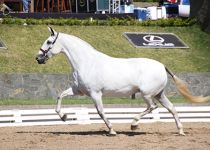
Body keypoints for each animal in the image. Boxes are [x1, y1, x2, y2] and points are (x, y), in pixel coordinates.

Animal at [36, 27, 210, 136]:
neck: (86, 62)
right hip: (159, 94)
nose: (38, 58)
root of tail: (162, 65)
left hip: (147, 94)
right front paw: (64, 117)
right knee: (172, 109)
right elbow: (60, 96)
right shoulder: (78, 91)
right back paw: (180, 131)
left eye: (49, 42)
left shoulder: (95, 94)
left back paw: (134, 124)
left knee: (152, 107)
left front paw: (112, 130)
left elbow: (100, 112)